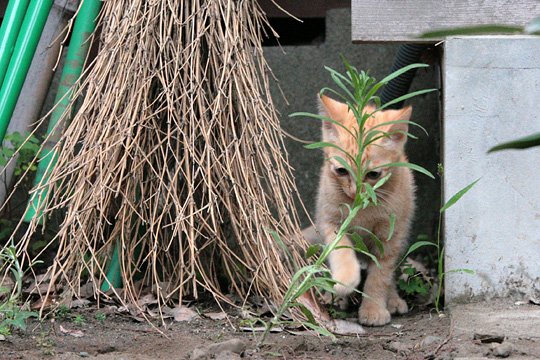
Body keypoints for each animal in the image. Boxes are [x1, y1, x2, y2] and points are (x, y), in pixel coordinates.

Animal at [306, 95, 416, 326]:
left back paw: (393, 299)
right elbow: (340, 250)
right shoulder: (330, 221)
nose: (355, 192)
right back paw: (334, 296)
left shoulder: (389, 237)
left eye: (373, 175)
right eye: (341, 171)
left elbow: (380, 276)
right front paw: (345, 280)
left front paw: (373, 309)